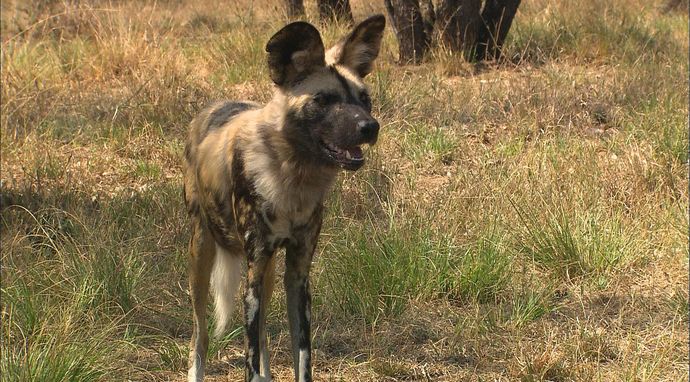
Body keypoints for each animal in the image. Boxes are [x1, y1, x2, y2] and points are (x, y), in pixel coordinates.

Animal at [183, 14, 384, 382]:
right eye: (324, 100)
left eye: (364, 98)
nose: (370, 127)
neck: (293, 177)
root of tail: (212, 107)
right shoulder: (252, 273)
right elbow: (248, 357)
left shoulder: (298, 274)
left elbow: (301, 357)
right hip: (203, 255)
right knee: (200, 335)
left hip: (268, 272)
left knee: (262, 331)